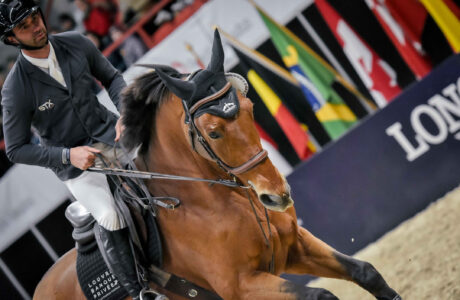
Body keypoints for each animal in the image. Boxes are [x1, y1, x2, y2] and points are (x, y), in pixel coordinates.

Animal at [32, 29, 400, 300]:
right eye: (213, 132)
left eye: (250, 108)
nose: (277, 196)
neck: (218, 202)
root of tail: (42, 285)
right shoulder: (241, 284)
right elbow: (322, 295)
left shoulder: (296, 247)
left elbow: (365, 271)